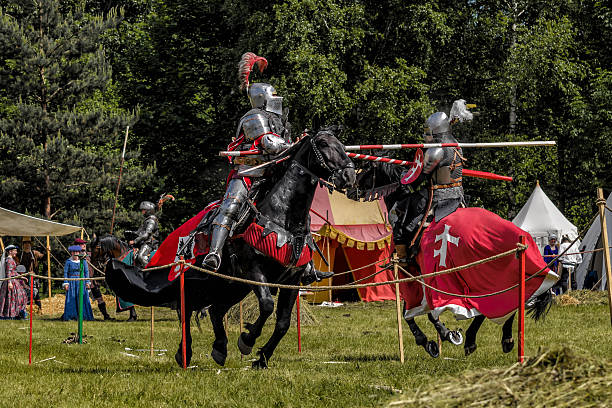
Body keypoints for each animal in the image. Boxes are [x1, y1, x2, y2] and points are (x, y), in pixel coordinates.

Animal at [103, 128, 356, 370]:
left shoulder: (291, 280)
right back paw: (185, 353)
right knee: (186, 311)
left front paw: (261, 358)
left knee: (215, 311)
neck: (284, 217)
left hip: (230, 287)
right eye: (323, 144)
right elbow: (266, 306)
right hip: (199, 282)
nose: (349, 175)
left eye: (342, 145)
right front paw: (247, 340)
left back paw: (219, 348)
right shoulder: (254, 270)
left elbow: (283, 323)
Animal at [354, 159, 548, 356]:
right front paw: (435, 339)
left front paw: (439, 336)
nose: (354, 185)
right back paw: (504, 339)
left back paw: (472, 340)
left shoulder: (417, 274)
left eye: (368, 169)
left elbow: (418, 312)